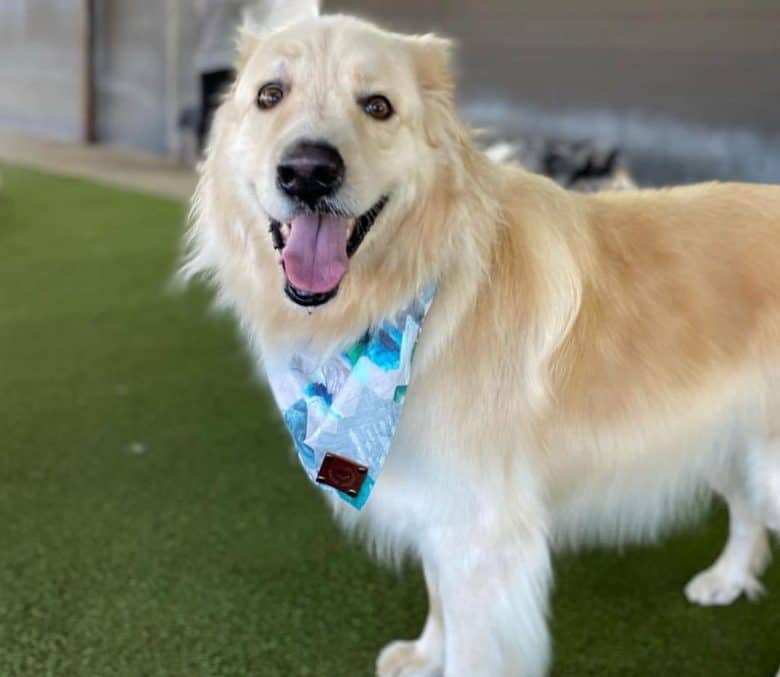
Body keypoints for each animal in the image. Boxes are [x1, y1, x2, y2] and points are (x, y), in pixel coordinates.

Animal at [184, 2, 780, 672]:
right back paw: (727, 578)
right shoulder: (441, 510)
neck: (419, 297)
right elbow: (440, 596)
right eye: (270, 95)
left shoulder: (482, 534)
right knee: (748, 511)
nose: (308, 173)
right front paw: (426, 654)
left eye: (377, 106)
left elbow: (472, 642)